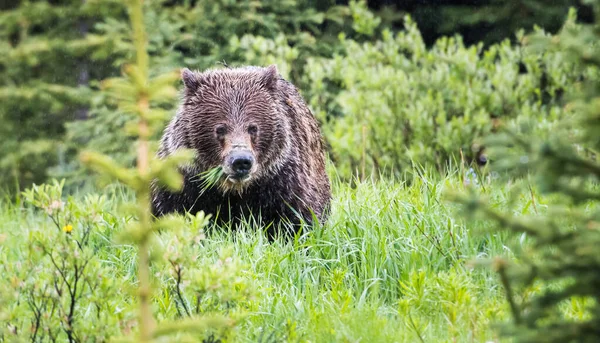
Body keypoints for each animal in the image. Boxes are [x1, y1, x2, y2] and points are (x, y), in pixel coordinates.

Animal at [148, 63, 330, 236]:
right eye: (220, 129)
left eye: (253, 128)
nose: (241, 161)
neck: (234, 190)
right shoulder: (184, 182)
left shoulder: (284, 182)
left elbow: (295, 220)